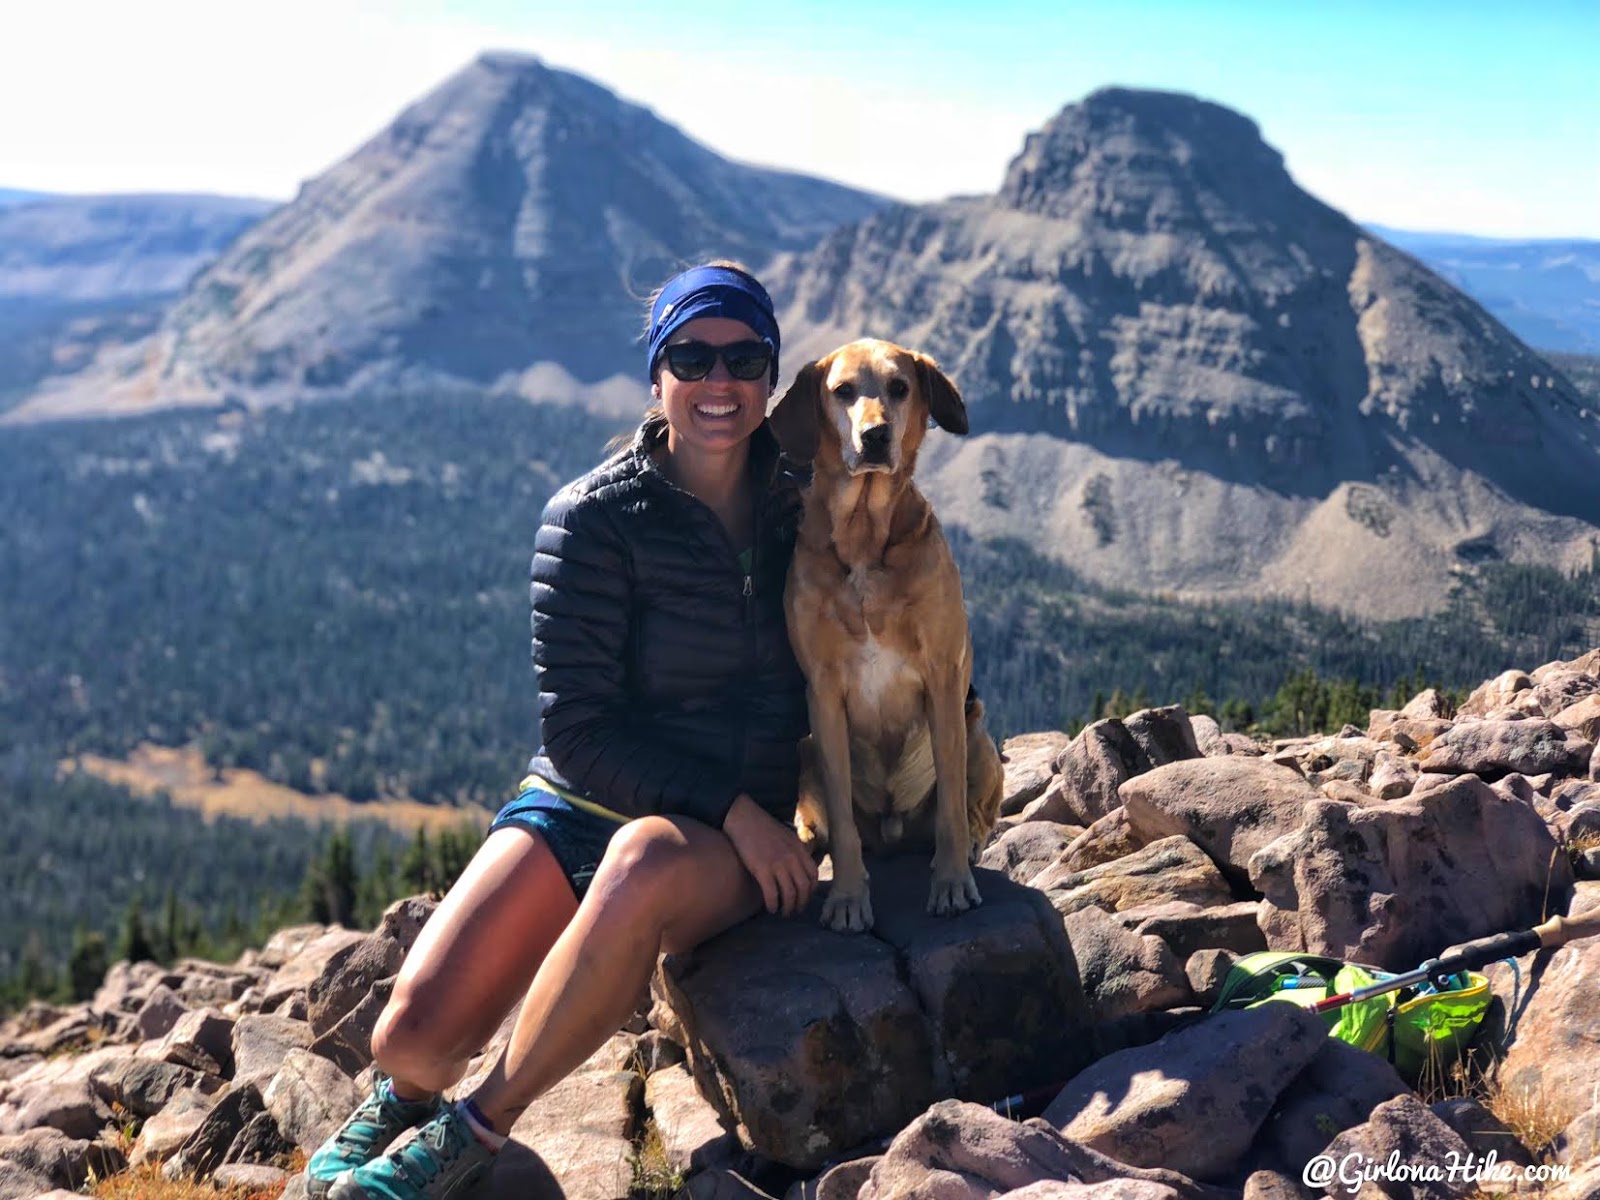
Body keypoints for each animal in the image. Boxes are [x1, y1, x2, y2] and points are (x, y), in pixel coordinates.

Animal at [771, 340, 998, 940]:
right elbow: (843, 825)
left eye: (900, 388)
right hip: (805, 747)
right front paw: (849, 898)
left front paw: (950, 885)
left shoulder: (943, 679)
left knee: (971, 809)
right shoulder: (823, 694)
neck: (864, 540)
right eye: (842, 391)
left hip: (978, 730)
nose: (874, 435)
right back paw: (808, 835)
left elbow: (950, 810)